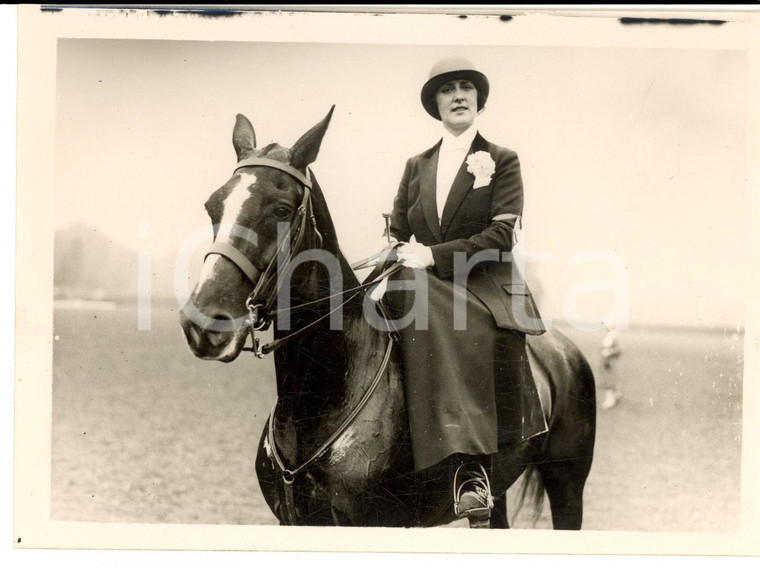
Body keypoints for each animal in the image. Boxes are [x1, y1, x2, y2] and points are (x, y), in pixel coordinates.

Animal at [181, 110, 596, 528]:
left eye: (281, 209)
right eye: (212, 206)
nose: (205, 324)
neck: (323, 393)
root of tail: (564, 349)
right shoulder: (293, 519)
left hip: (566, 483)